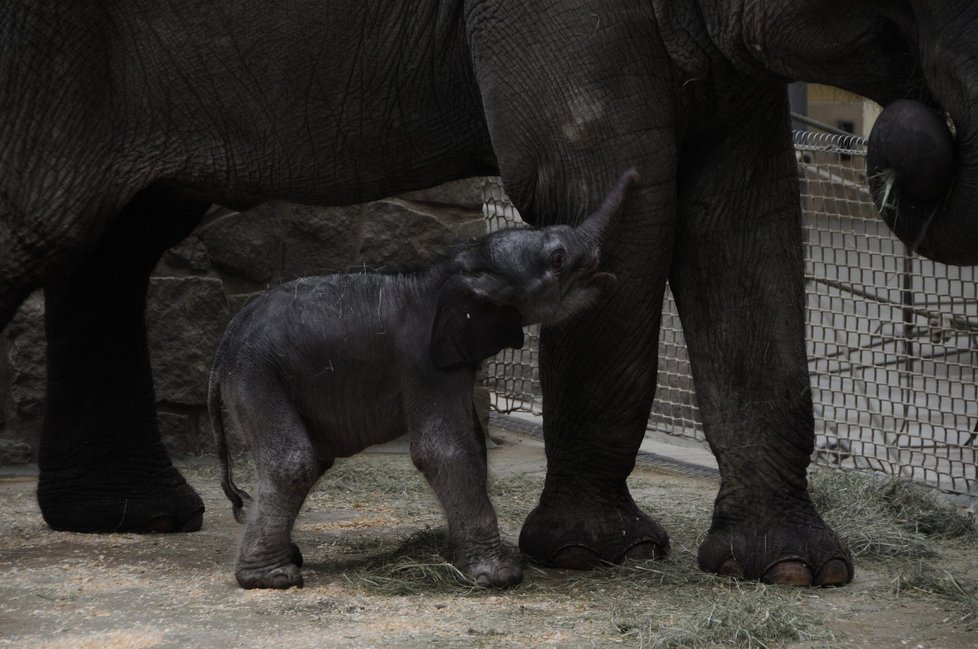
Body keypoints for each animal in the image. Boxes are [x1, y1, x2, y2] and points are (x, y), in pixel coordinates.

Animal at [209, 167, 636, 588]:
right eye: (558, 258)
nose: (632, 174)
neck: (454, 269)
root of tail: (226, 339)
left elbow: (473, 445)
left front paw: (459, 558)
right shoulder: (424, 363)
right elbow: (444, 450)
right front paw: (499, 576)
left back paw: (289, 558)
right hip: (257, 376)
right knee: (294, 463)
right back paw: (273, 577)